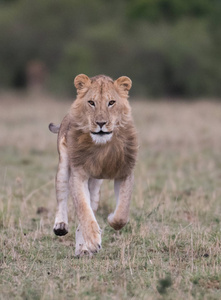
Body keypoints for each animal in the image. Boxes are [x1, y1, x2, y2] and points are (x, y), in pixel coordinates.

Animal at [49, 74, 138, 256]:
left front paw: (110, 219)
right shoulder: (78, 174)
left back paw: (83, 249)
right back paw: (61, 226)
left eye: (111, 102)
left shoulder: (124, 172)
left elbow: (122, 212)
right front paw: (92, 239)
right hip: (63, 166)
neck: (101, 147)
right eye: (91, 102)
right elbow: (83, 208)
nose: (101, 123)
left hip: (95, 186)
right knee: (62, 196)